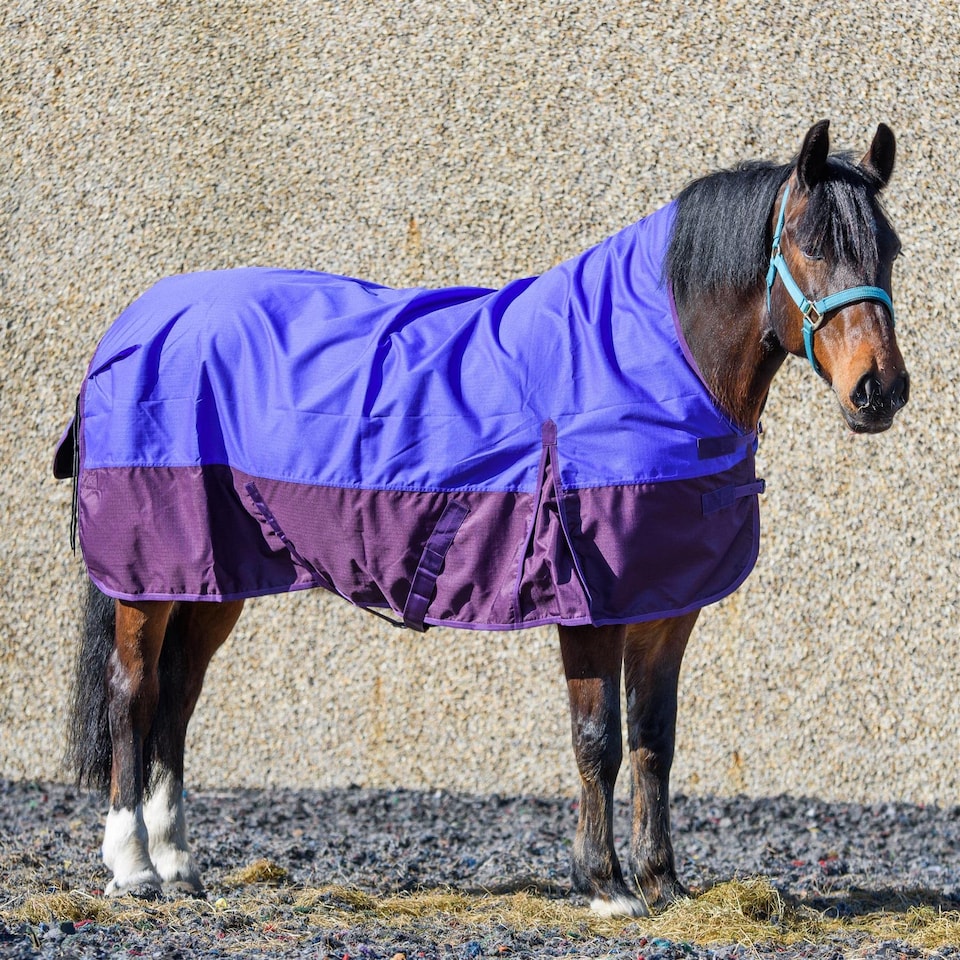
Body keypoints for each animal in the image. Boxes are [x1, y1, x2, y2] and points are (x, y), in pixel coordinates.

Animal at [56, 120, 908, 915]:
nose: (880, 390)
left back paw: (179, 865)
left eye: (890, 249)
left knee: (177, 698)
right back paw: (133, 867)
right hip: (145, 578)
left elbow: (654, 743)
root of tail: (136, 323)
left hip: (211, 578)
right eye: (809, 243)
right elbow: (598, 741)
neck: (648, 356)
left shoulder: (667, 607)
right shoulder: (589, 603)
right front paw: (605, 885)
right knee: (133, 694)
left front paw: (664, 883)